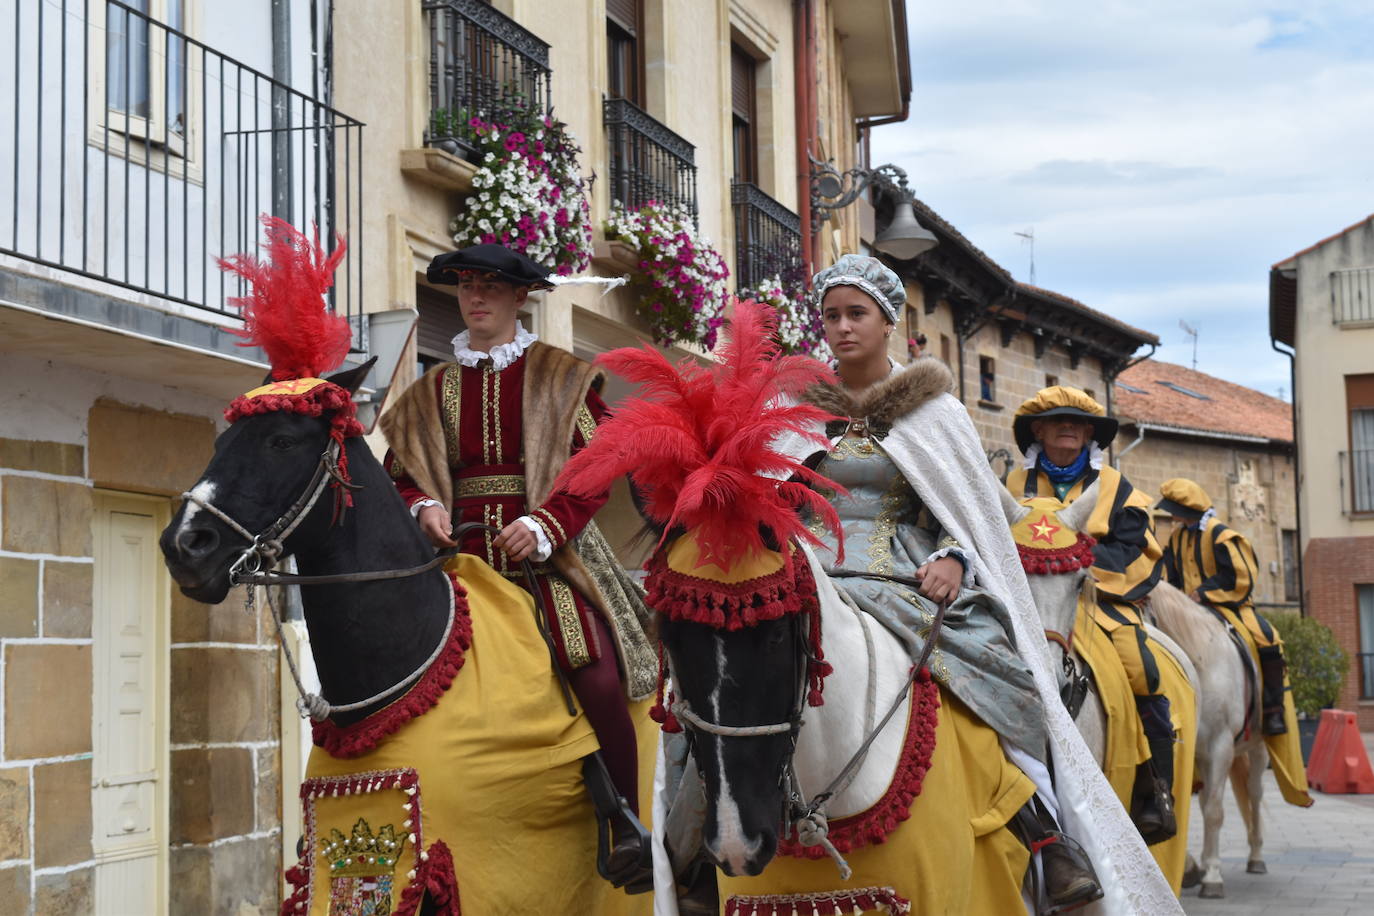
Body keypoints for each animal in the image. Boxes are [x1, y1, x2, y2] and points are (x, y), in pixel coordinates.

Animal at [1143, 585, 1269, 900]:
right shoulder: (1188, 753)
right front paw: (1190, 868)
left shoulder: (1220, 748)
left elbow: (1213, 812)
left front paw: (1212, 875)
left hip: (1257, 748)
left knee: (1254, 794)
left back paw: (1256, 856)